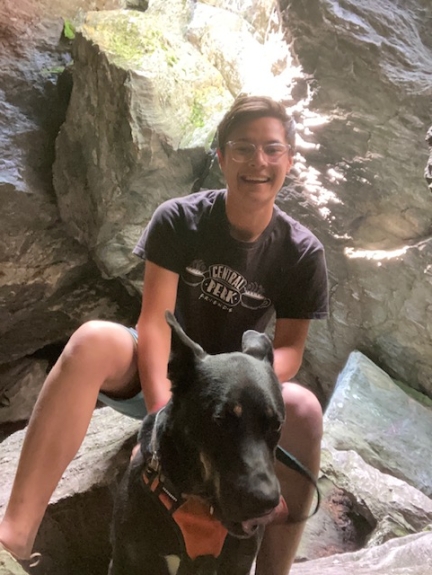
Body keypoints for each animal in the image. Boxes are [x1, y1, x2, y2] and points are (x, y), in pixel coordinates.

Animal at [107, 316, 286, 575]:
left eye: (276, 425)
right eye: (220, 420)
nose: (265, 502)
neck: (196, 501)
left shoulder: (238, 564)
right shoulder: (126, 561)